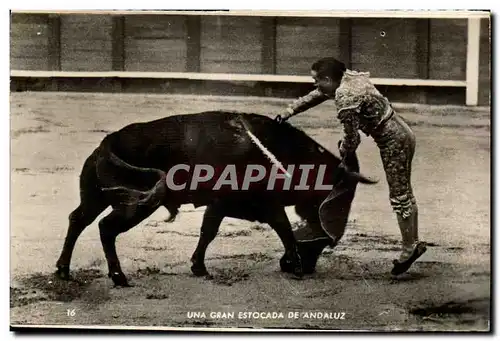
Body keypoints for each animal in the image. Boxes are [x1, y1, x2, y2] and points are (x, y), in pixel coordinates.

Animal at [55, 109, 376, 284]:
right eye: (321, 241)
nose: (310, 269)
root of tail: (108, 141)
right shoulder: (234, 202)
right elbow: (277, 228)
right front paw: (295, 265)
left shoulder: (241, 204)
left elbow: (214, 231)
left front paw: (198, 266)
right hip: (136, 204)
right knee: (106, 228)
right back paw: (118, 277)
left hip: (96, 197)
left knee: (77, 220)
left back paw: (63, 270)